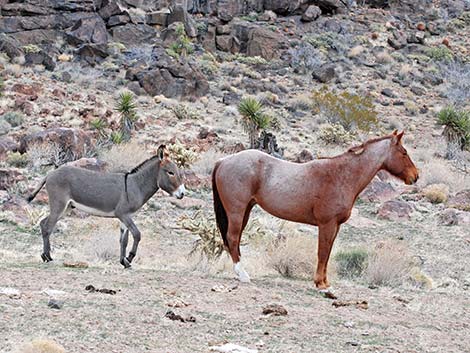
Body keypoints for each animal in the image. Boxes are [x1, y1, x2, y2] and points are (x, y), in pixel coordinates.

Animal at [213, 131, 418, 292]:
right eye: (404, 152)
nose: (415, 176)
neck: (342, 175)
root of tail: (224, 161)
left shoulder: (335, 226)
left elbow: (327, 253)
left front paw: (325, 283)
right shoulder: (327, 224)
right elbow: (322, 252)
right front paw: (320, 284)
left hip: (246, 210)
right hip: (237, 211)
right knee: (232, 238)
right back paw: (243, 275)